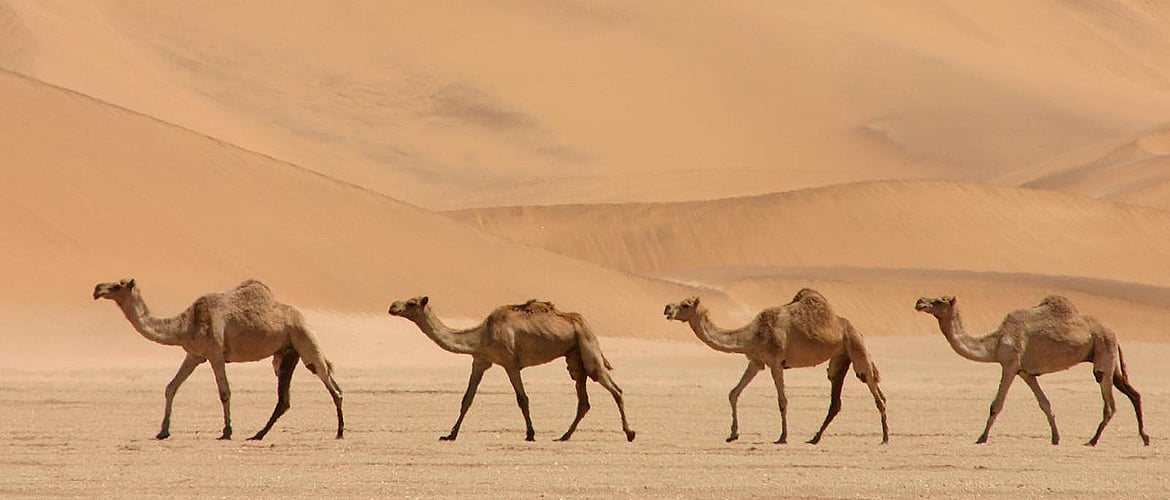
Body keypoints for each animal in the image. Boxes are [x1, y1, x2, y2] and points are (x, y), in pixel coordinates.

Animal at [93, 278, 343, 440]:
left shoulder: (215, 353)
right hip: (286, 354)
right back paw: (258, 434)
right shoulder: (194, 354)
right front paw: (163, 431)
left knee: (330, 382)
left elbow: (224, 392)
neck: (186, 325)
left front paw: (226, 431)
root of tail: (302, 317)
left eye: (117, 285)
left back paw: (340, 432)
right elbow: (171, 387)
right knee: (285, 398)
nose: (97, 289)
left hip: (304, 339)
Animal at [388, 296, 635, 442]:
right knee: (583, 399)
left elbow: (522, 398)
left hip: (588, 347)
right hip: (574, 356)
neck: (480, 336)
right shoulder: (480, 361)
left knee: (613, 388)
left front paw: (530, 434)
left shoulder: (509, 362)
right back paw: (564, 436)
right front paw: (450, 434)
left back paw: (630, 433)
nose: (392, 306)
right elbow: (467, 399)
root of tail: (584, 323)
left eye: (412, 303)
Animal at [663, 289, 888, 444]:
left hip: (857, 349)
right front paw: (733, 434)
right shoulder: (756, 362)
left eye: (685, 305)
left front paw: (783, 436)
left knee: (876, 392)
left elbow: (782, 401)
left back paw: (885, 438)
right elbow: (733, 393)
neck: (752, 335)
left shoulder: (775, 363)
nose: (667, 308)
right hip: (839, 358)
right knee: (836, 400)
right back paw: (814, 438)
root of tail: (856, 329)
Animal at [915, 295, 1149, 446]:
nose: (919, 302)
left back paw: (1092, 440)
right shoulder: (1025, 372)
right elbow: (1045, 404)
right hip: (1108, 359)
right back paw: (1144, 437)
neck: (997, 342)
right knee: (1133, 393)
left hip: (1103, 355)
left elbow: (996, 405)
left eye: (939, 301)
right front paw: (1055, 438)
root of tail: (1114, 334)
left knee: (1110, 403)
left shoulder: (1010, 364)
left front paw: (981, 438)